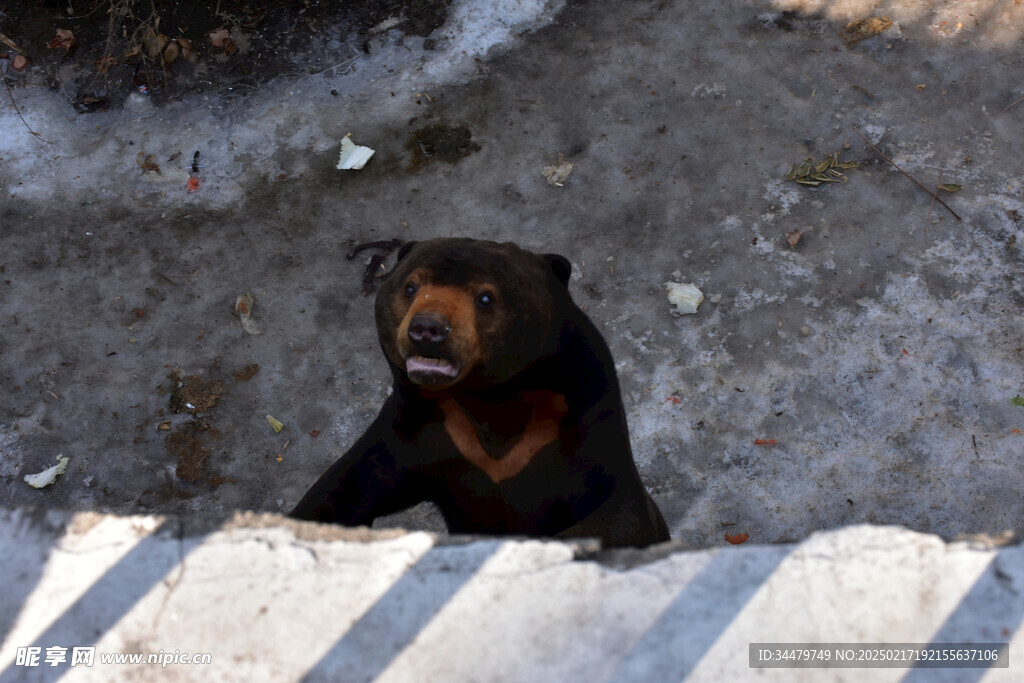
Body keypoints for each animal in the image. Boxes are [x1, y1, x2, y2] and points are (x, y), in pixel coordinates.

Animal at [290, 237, 671, 548]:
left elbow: (615, 512)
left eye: (486, 297)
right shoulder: (418, 428)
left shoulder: (581, 419)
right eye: (410, 287)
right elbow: (349, 487)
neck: (490, 399)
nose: (427, 329)